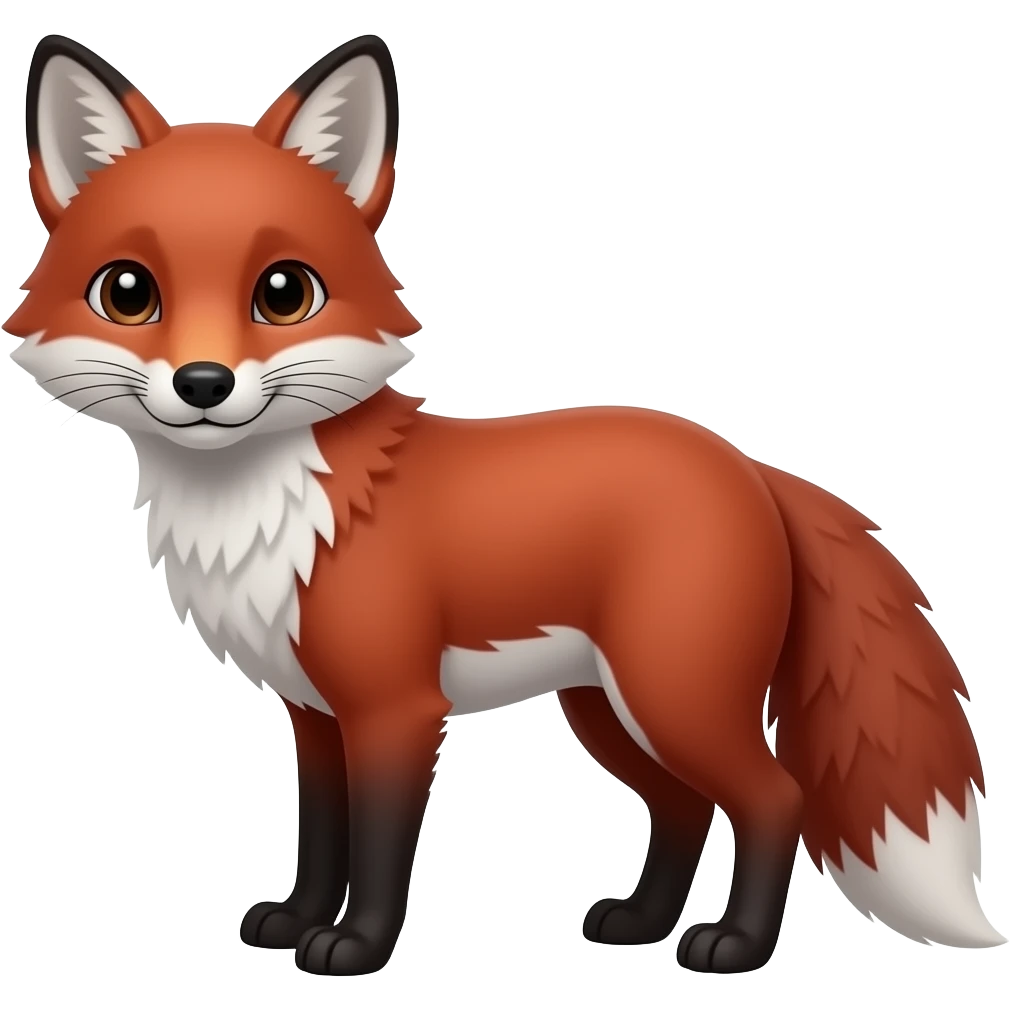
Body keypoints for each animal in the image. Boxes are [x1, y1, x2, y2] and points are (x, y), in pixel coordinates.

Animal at [7, 33, 1006, 978]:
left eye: (284, 292)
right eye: (128, 292)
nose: (204, 384)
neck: (274, 510)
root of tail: (747, 463)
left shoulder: (396, 709)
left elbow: (378, 848)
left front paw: (354, 947)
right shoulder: (315, 714)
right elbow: (321, 835)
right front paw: (293, 921)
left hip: (674, 696)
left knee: (774, 797)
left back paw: (736, 946)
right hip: (608, 708)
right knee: (684, 805)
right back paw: (640, 924)